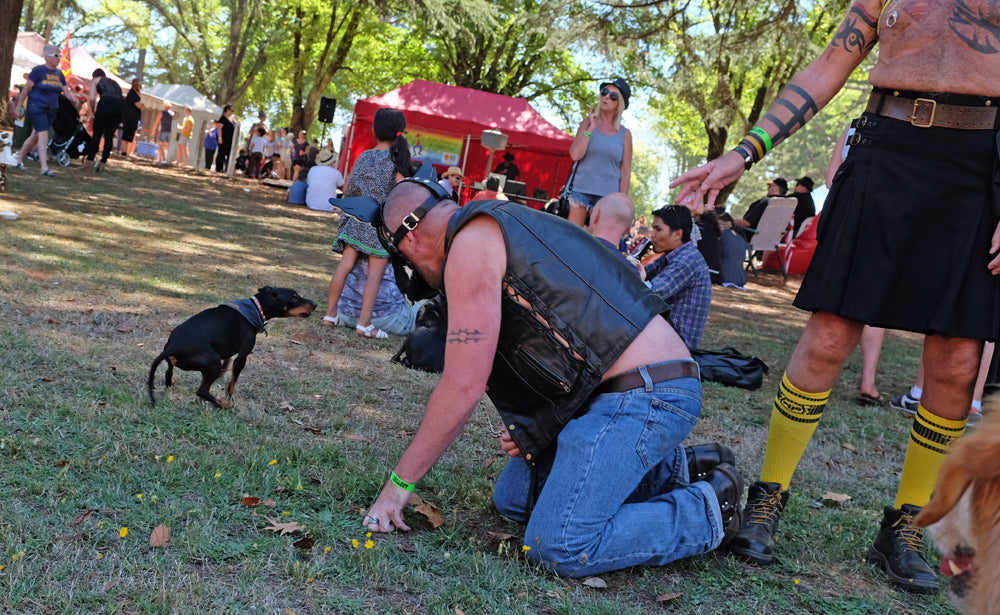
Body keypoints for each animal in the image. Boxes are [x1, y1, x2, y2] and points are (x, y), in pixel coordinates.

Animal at [145, 286, 314, 406]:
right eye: (294, 297)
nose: (315, 303)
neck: (255, 308)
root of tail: (173, 346)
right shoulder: (242, 356)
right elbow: (234, 380)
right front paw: (230, 396)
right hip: (213, 362)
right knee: (202, 391)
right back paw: (223, 404)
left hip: (185, 361)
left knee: (169, 372)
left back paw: (170, 382)